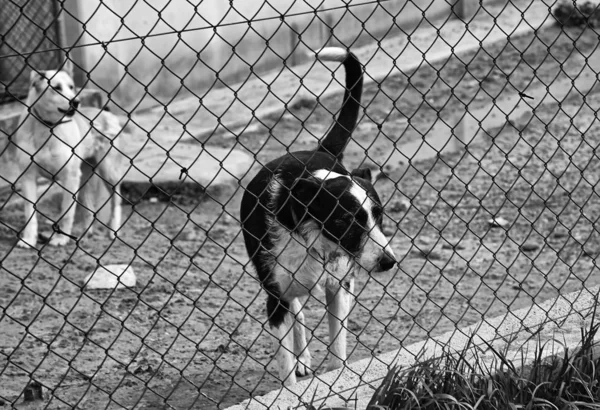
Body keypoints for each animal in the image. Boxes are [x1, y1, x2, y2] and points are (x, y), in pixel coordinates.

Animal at [4, 68, 126, 247]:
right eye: (56, 87)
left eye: (71, 87)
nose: (76, 101)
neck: (48, 128)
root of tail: (106, 114)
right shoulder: (28, 177)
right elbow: (29, 213)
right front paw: (29, 239)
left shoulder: (69, 177)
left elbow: (67, 212)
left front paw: (61, 239)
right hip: (84, 178)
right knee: (89, 209)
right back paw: (85, 234)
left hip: (107, 171)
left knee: (116, 199)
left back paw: (113, 231)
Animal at [239, 47, 398, 384]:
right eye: (345, 220)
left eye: (379, 215)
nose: (388, 262)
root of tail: (319, 150)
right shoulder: (276, 298)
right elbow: (285, 365)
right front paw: (291, 383)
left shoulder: (339, 288)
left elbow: (338, 348)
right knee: (297, 311)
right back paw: (302, 356)